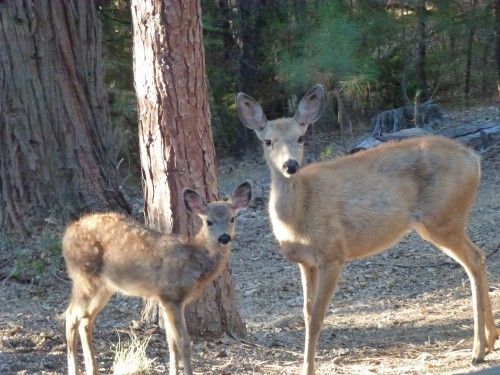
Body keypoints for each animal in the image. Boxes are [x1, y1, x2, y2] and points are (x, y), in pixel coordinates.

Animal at [64, 181, 252, 374]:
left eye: (232, 218)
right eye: (209, 222)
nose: (224, 237)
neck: (194, 258)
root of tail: (67, 234)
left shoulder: (165, 300)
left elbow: (171, 342)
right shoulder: (171, 297)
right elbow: (183, 343)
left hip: (104, 286)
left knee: (85, 319)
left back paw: (92, 368)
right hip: (84, 277)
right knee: (71, 316)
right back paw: (74, 369)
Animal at [236, 86, 498, 375]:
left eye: (301, 137)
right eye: (267, 141)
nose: (290, 165)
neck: (299, 214)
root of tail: (474, 158)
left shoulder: (333, 254)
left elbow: (317, 318)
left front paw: (309, 369)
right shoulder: (306, 262)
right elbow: (305, 314)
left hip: (444, 218)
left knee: (474, 258)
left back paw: (477, 350)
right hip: (436, 223)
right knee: (476, 259)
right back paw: (488, 343)